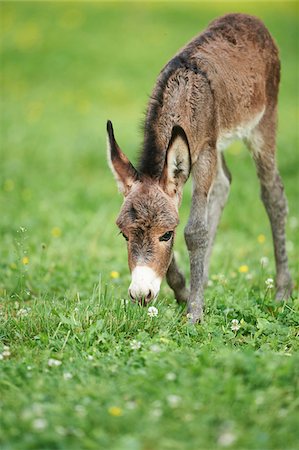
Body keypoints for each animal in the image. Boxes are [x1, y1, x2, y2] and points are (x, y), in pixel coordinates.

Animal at [107, 13, 292, 324]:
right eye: (124, 234)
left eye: (166, 234)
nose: (141, 295)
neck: (184, 93)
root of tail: (249, 18)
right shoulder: (204, 151)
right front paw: (185, 291)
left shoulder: (204, 151)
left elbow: (195, 231)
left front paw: (194, 312)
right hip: (222, 143)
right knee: (224, 184)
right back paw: (202, 280)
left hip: (264, 121)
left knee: (273, 194)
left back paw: (282, 291)